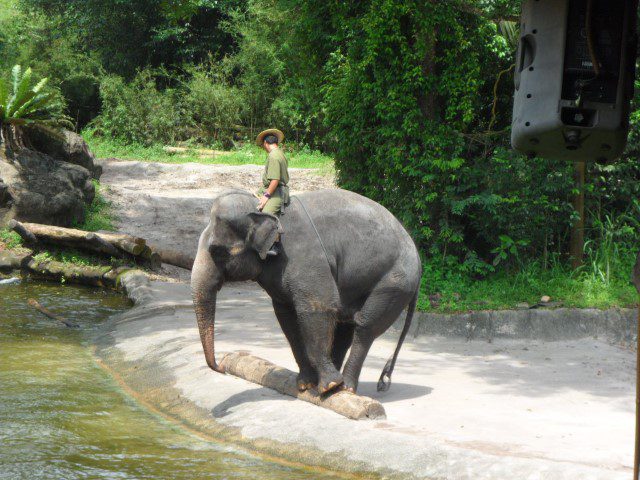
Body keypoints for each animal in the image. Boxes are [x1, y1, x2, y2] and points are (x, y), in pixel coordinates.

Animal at [190, 189, 420, 396]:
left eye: (217, 251)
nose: (222, 367)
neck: (262, 210)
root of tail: (418, 258)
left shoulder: (305, 257)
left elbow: (317, 308)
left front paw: (327, 386)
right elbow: (287, 317)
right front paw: (306, 385)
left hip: (395, 283)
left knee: (365, 325)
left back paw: (343, 387)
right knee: (346, 325)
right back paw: (337, 383)